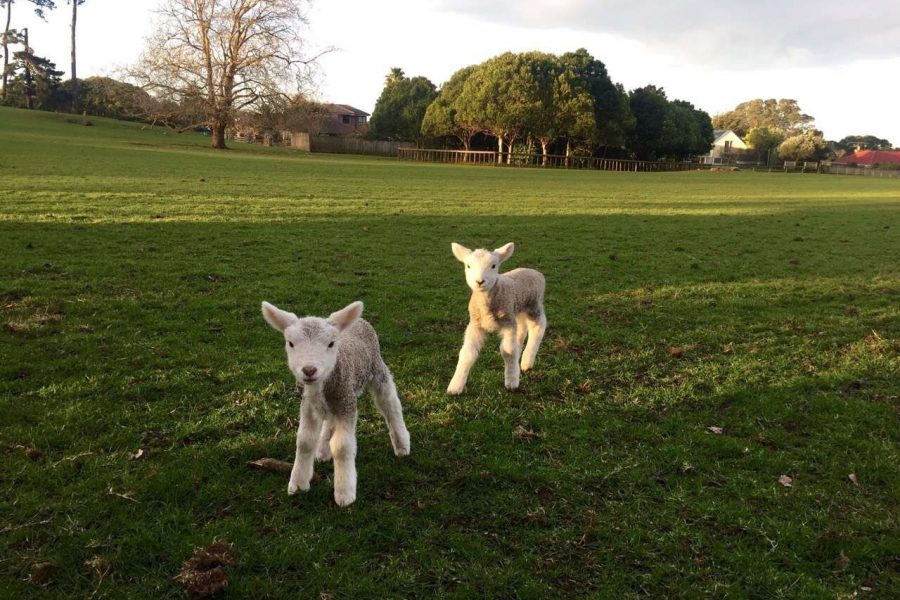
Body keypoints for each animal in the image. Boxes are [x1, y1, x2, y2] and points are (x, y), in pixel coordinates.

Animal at [260, 300, 412, 506]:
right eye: (290, 343)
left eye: (331, 344)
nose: (309, 370)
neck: (320, 385)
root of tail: (359, 321)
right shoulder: (308, 405)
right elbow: (304, 441)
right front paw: (298, 484)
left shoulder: (346, 402)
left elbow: (342, 446)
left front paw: (344, 494)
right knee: (330, 421)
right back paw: (323, 450)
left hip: (377, 369)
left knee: (390, 405)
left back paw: (402, 445)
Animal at [446, 241, 544, 396]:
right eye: (468, 266)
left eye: (493, 266)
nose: (480, 281)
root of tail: (534, 271)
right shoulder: (476, 324)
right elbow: (467, 353)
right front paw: (455, 387)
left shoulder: (508, 323)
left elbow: (508, 351)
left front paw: (512, 382)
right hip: (516, 308)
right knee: (522, 328)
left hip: (534, 306)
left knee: (538, 328)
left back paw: (526, 362)